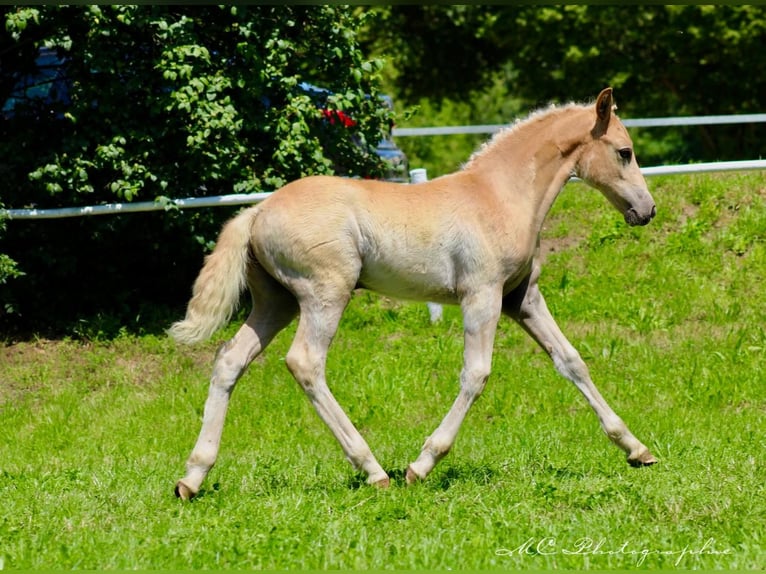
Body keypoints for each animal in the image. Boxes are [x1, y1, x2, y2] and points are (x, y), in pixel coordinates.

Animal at [172, 88, 660, 502]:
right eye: (624, 152)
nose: (647, 210)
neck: (499, 196)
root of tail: (257, 212)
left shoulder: (521, 297)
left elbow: (571, 360)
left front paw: (636, 449)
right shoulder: (481, 295)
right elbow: (476, 374)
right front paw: (421, 465)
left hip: (276, 302)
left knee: (230, 359)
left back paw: (192, 477)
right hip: (324, 294)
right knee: (306, 363)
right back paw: (374, 471)